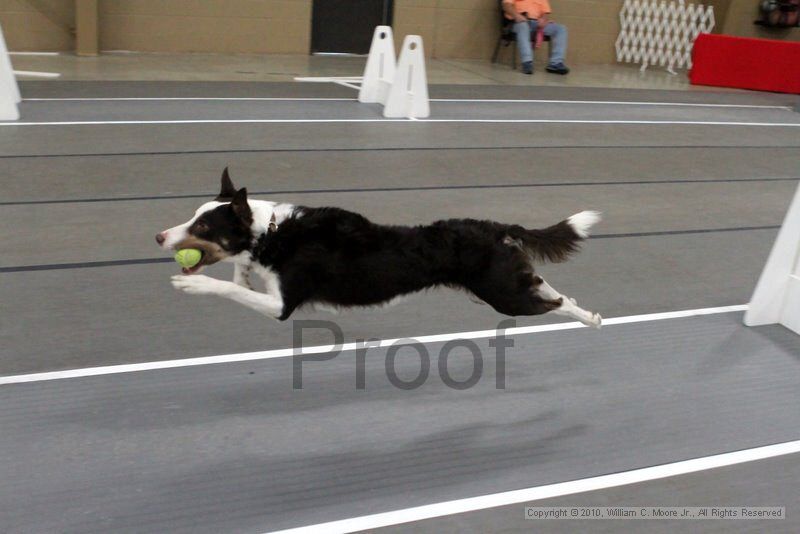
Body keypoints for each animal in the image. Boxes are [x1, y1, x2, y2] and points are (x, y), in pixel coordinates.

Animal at [158, 170, 600, 328]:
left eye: (202, 226)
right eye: (193, 215)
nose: (159, 237)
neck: (272, 233)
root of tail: (493, 226)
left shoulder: (283, 306)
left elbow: (227, 288)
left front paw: (192, 285)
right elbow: (240, 279)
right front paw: (239, 269)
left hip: (503, 296)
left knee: (557, 302)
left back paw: (592, 320)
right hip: (505, 283)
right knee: (550, 289)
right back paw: (587, 311)